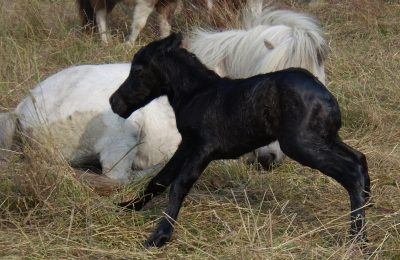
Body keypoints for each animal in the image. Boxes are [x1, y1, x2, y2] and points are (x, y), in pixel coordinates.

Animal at [108, 33, 368, 248]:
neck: (196, 93)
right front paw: (129, 206)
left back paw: (357, 238)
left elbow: (180, 184)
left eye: (138, 70)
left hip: (300, 144)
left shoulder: (205, 146)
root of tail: (328, 99)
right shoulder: (187, 144)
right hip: (326, 138)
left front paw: (159, 237)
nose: (114, 102)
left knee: (352, 171)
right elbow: (160, 180)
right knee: (360, 159)